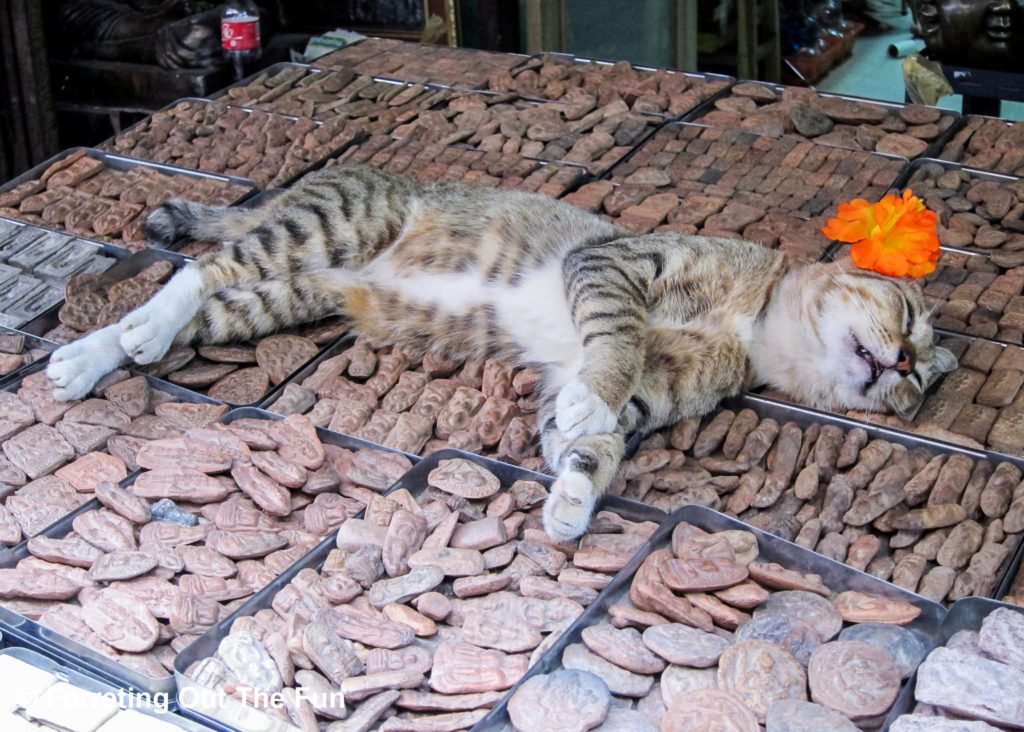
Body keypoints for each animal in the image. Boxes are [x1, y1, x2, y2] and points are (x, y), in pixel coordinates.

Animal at [46, 167, 958, 544]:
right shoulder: (618, 266)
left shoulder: (635, 397)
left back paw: (87, 359)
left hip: (292, 293)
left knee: (203, 304)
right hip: (328, 225)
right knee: (199, 269)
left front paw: (572, 505)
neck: (750, 323)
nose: (905, 368)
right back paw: (130, 333)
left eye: (915, 389)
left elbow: (591, 443)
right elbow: (617, 338)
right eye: (909, 315)